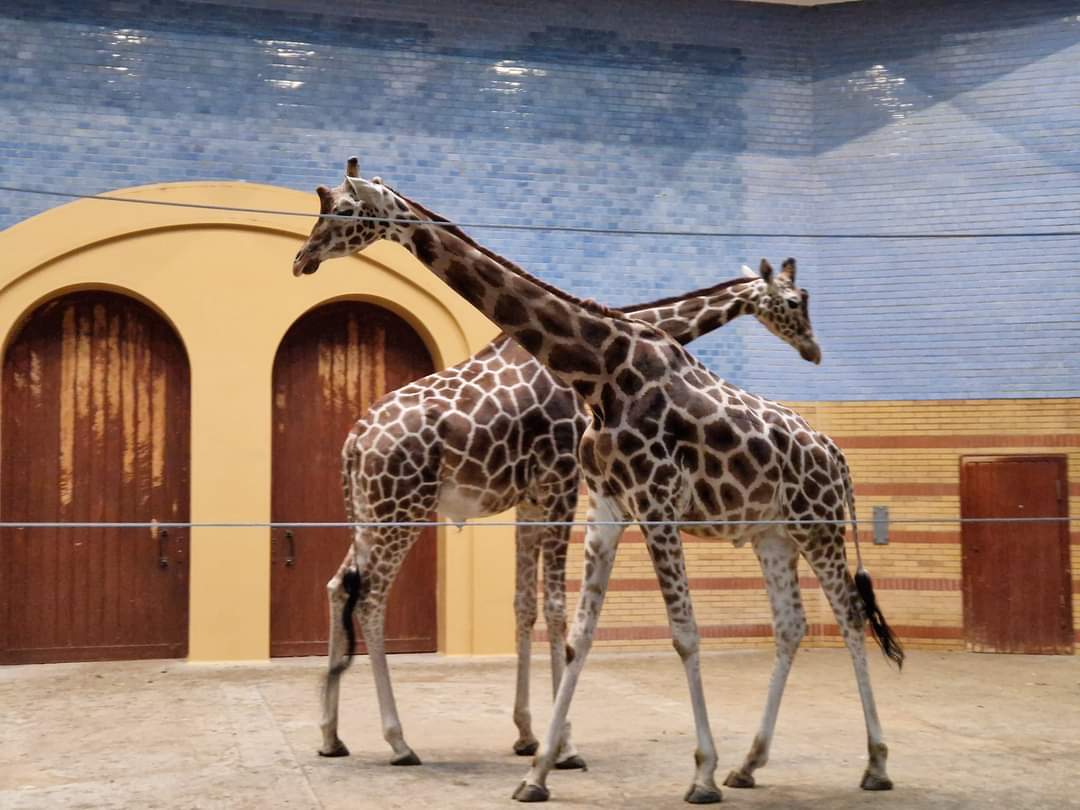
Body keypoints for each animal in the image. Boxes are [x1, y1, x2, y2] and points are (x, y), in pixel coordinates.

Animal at [292, 162, 903, 804]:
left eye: (341, 210)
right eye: (792, 301)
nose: (303, 259)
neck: (601, 367)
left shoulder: (592, 495)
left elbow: (574, 615)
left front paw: (556, 746)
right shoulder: (593, 495)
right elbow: (581, 624)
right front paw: (550, 755)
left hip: (808, 526)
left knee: (843, 616)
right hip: (398, 509)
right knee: (364, 596)